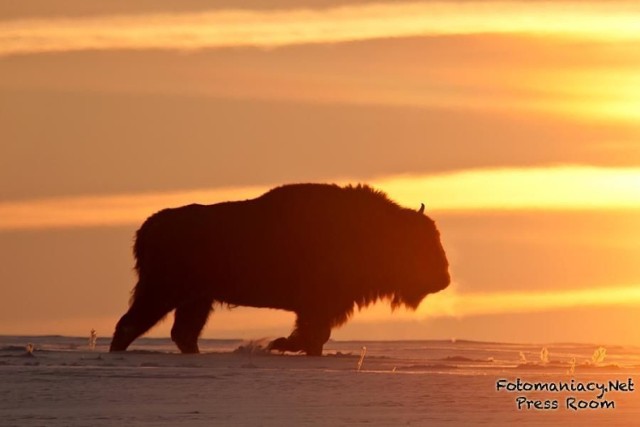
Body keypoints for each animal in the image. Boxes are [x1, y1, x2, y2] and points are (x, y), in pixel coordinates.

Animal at [110, 183, 450, 354]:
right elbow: (315, 333)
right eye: (419, 243)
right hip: (162, 292)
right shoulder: (318, 306)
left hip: (195, 299)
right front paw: (283, 345)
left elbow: (318, 335)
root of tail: (148, 227)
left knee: (181, 333)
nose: (444, 278)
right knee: (131, 324)